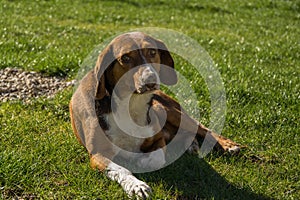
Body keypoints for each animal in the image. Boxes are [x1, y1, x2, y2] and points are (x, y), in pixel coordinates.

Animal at [69, 32, 240, 199]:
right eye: (125, 58)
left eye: (152, 52)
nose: (150, 80)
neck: (131, 105)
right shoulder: (98, 154)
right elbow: (122, 169)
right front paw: (136, 185)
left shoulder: (158, 140)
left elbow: (156, 159)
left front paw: (140, 161)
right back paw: (191, 145)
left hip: (170, 111)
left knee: (203, 128)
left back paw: (227, 145)